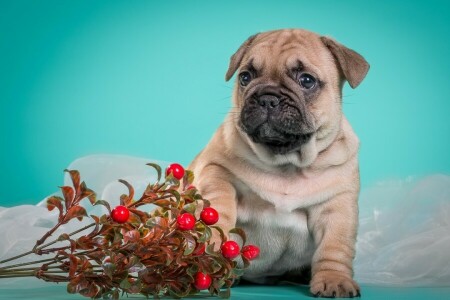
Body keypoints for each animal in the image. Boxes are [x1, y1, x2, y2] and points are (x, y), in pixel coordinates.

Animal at [190, 28, 370, 298]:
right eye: (245, 77)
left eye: (306, 80)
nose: (266, 98)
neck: (287, 163)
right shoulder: (214, 168)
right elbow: (219, 200)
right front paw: (216, 239)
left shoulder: (337, 205)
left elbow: (335, 247)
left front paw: (335, 279)